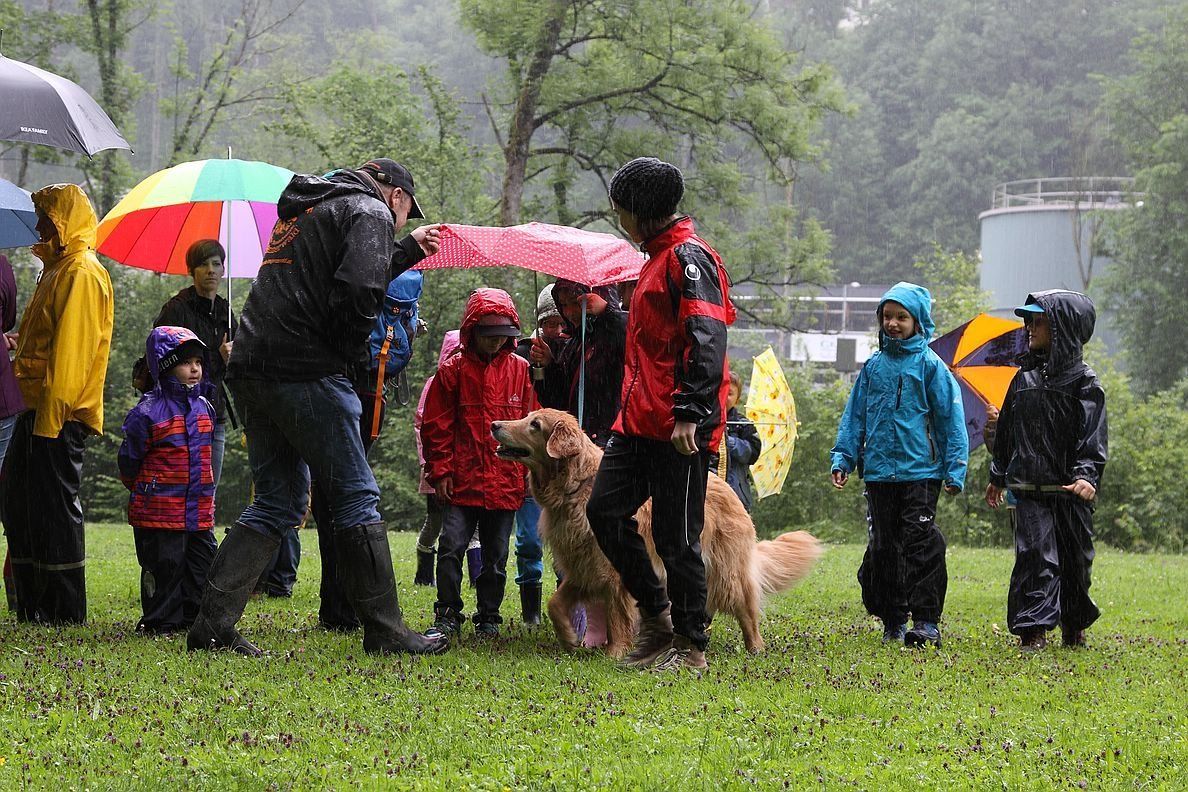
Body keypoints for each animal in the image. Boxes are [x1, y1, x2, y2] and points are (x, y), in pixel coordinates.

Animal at [492, 409, 821, 657]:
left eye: (535, 425)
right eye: (528, 417)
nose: (495, 425)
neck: (576, 487)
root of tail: (727, 487)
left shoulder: (614, 572)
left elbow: (617, 617)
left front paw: (615, 653)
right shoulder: (583, 569)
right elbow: (554, 604)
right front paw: (570, 638)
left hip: (725, 574)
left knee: (747, 610)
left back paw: (753, 648)